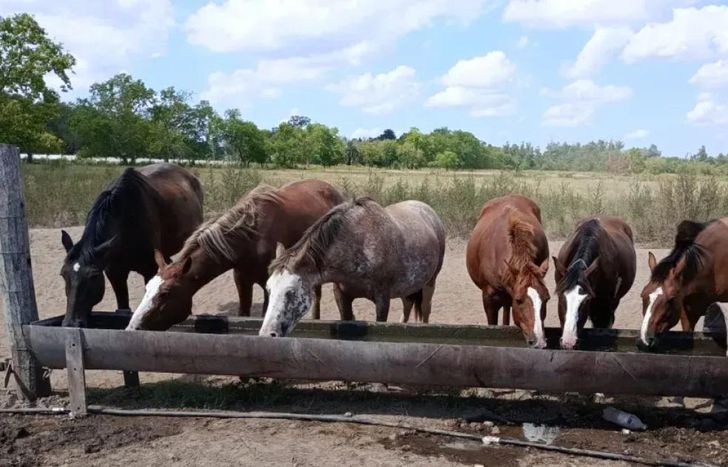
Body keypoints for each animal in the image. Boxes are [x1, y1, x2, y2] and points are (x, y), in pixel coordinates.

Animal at [60, 163, 204, 327]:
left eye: (93, 276)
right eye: (63, 274)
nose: (71, 323)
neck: (127, 221)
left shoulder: (149, 269)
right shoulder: (115, 273)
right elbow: (123, 307)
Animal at [126, 179, 344, 331]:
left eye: (165, 293)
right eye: (147, 288)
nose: (133, 327)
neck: (251, 237)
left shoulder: (269, 285)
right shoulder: (241, 280)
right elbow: (243, 314)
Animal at [258, 197, 445, 337]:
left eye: (291, 292)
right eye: (268, 289)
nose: (268, 333)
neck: (359, 244)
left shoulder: (382, 299)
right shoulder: (342, 296)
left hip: (430, 283)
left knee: (426, 310)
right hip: (408, 288)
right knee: (407, 307)